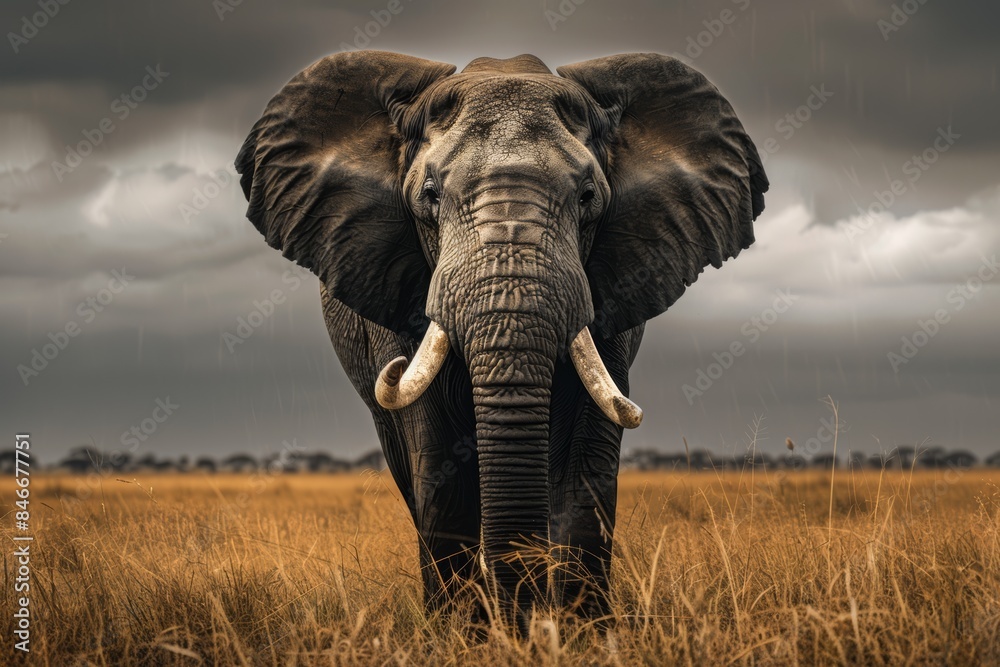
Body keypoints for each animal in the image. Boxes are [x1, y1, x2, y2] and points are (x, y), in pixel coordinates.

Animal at [235, 50, 767, 624]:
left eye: (588, 197)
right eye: (429, 197)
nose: (524, 620)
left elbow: (586, 462)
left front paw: (581, 631)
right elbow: (440, 464)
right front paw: (464, 632)